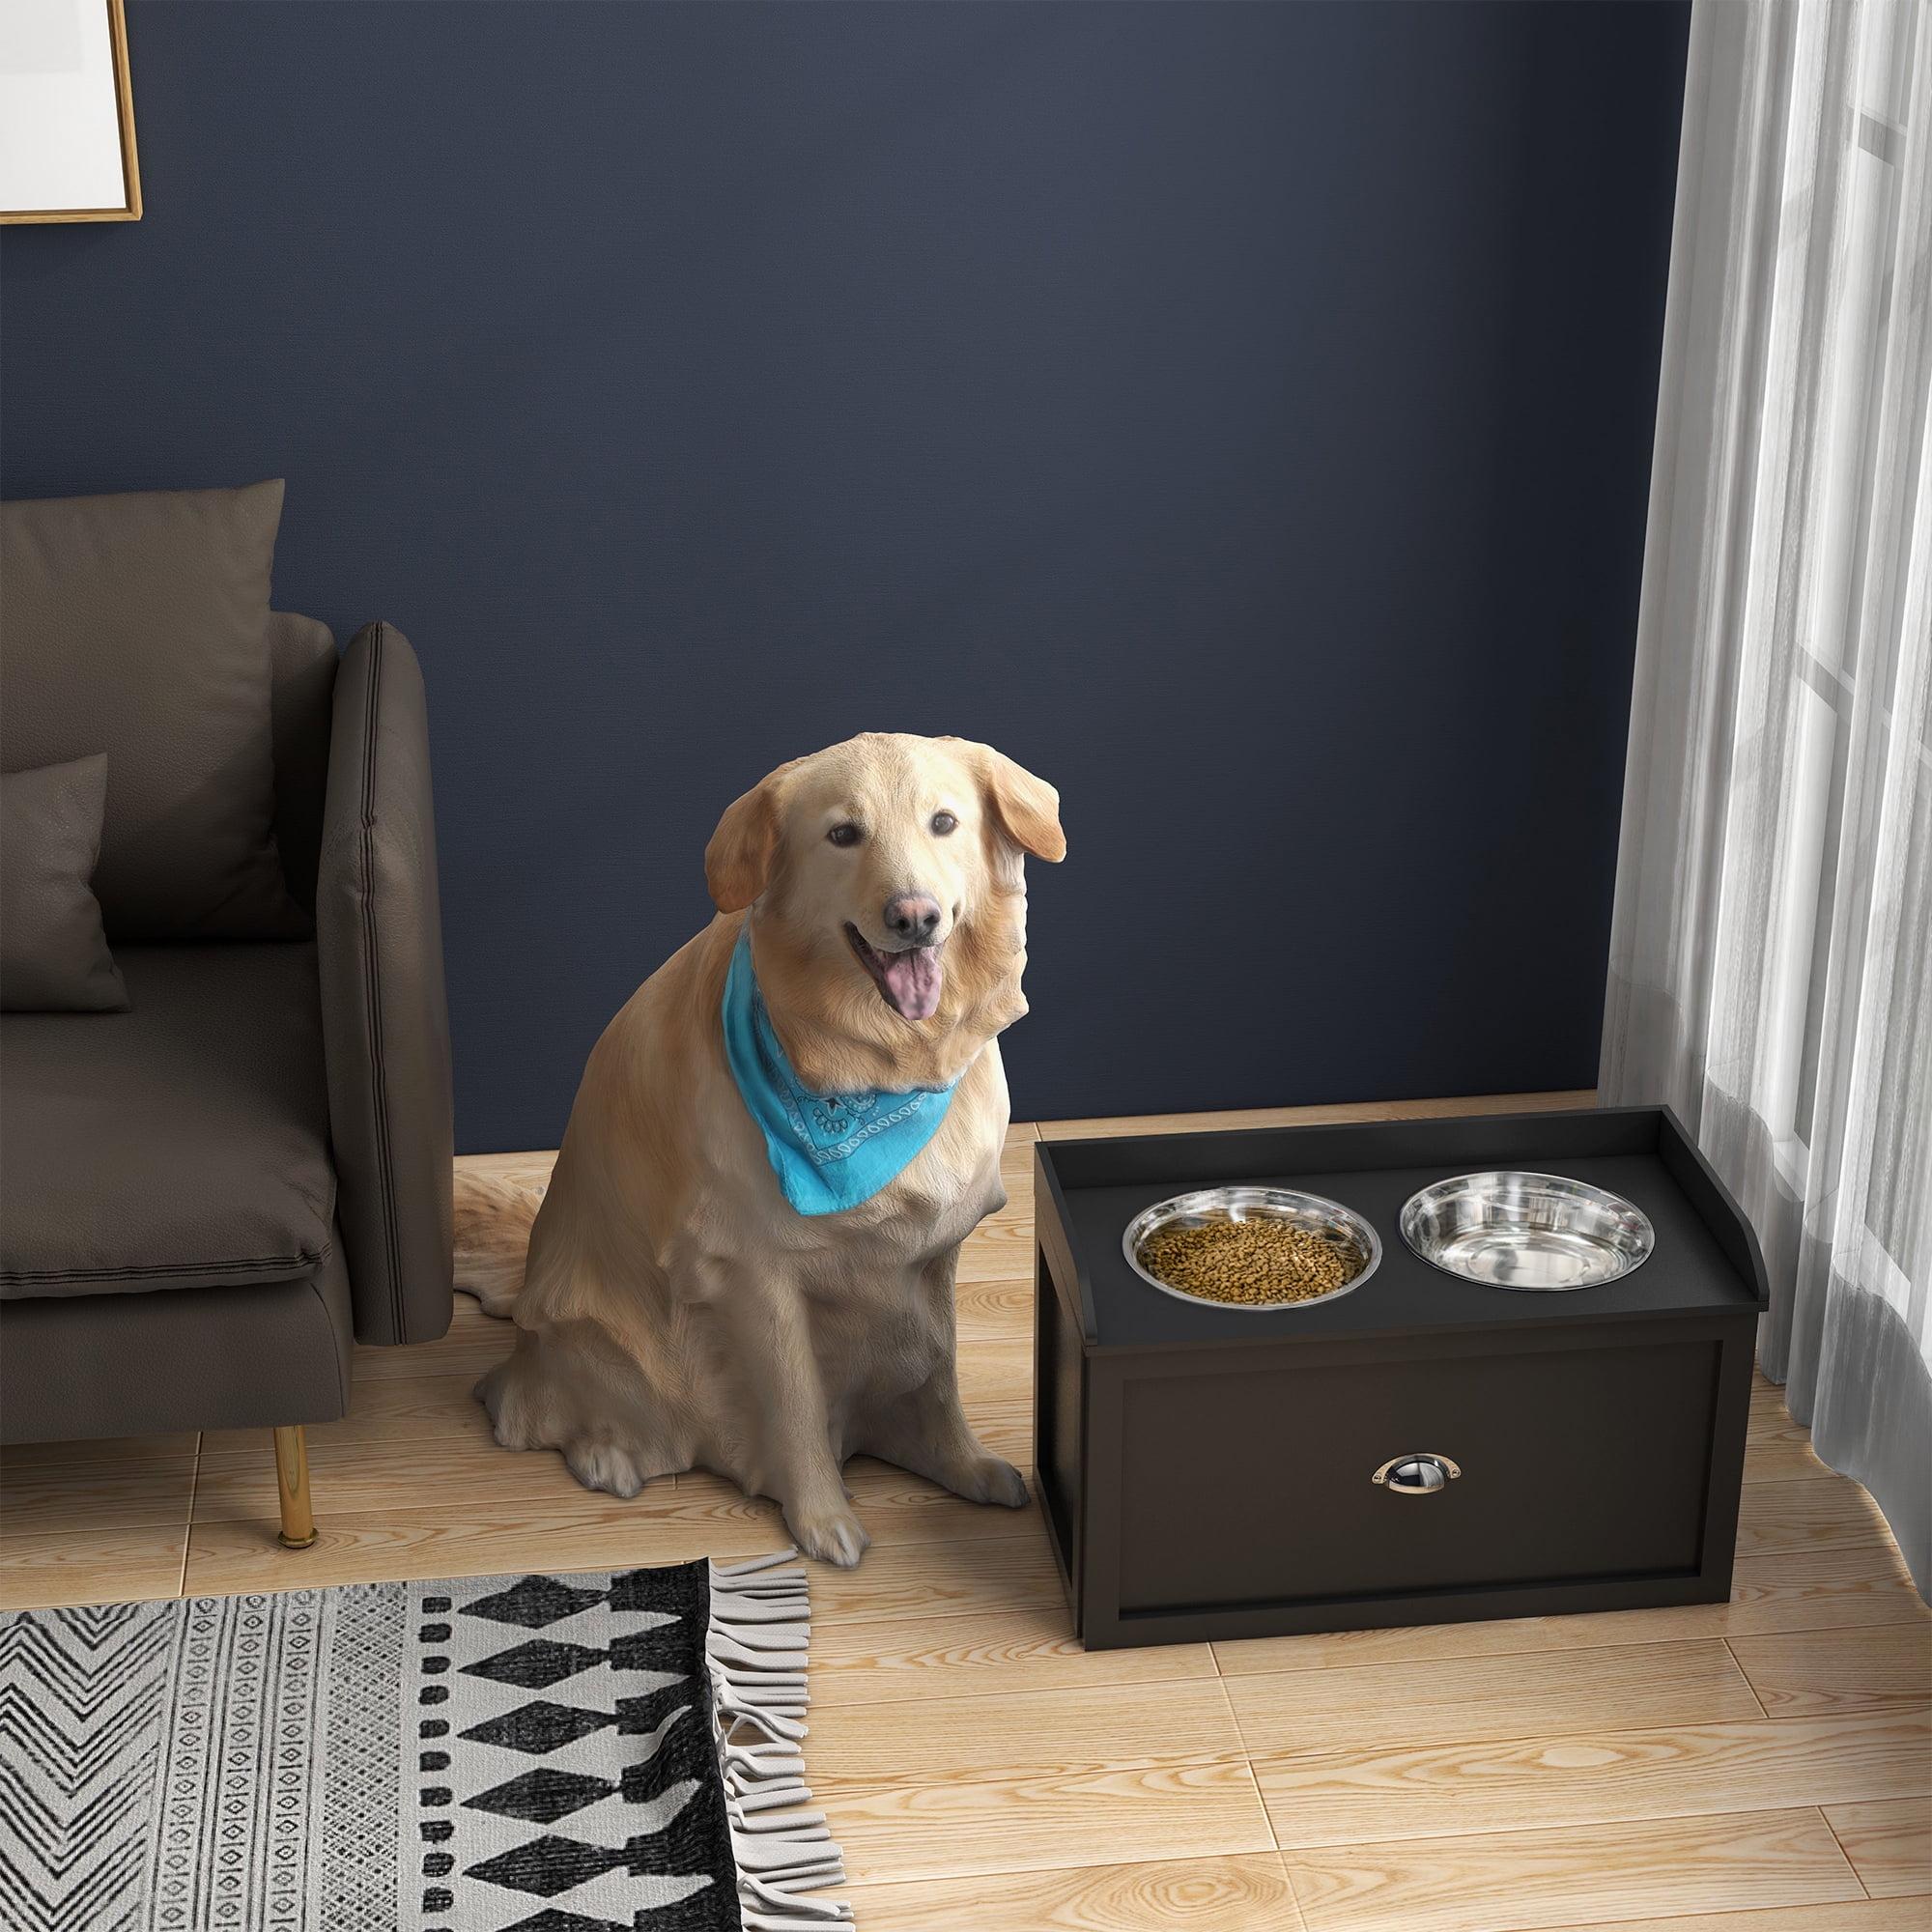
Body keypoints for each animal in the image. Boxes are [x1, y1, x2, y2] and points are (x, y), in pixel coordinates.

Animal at [469, 730, 1074, 1561]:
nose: (914, 916)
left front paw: (961, 1463)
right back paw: (607, 1458)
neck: (875, 1069)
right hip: (610, 1347)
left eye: (944, 823)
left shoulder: (930, 1254)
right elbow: (794, 1406)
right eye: (843, 834)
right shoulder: (752, 1270)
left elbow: (939, 1372)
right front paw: (822, 1521)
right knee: (522, 1406)